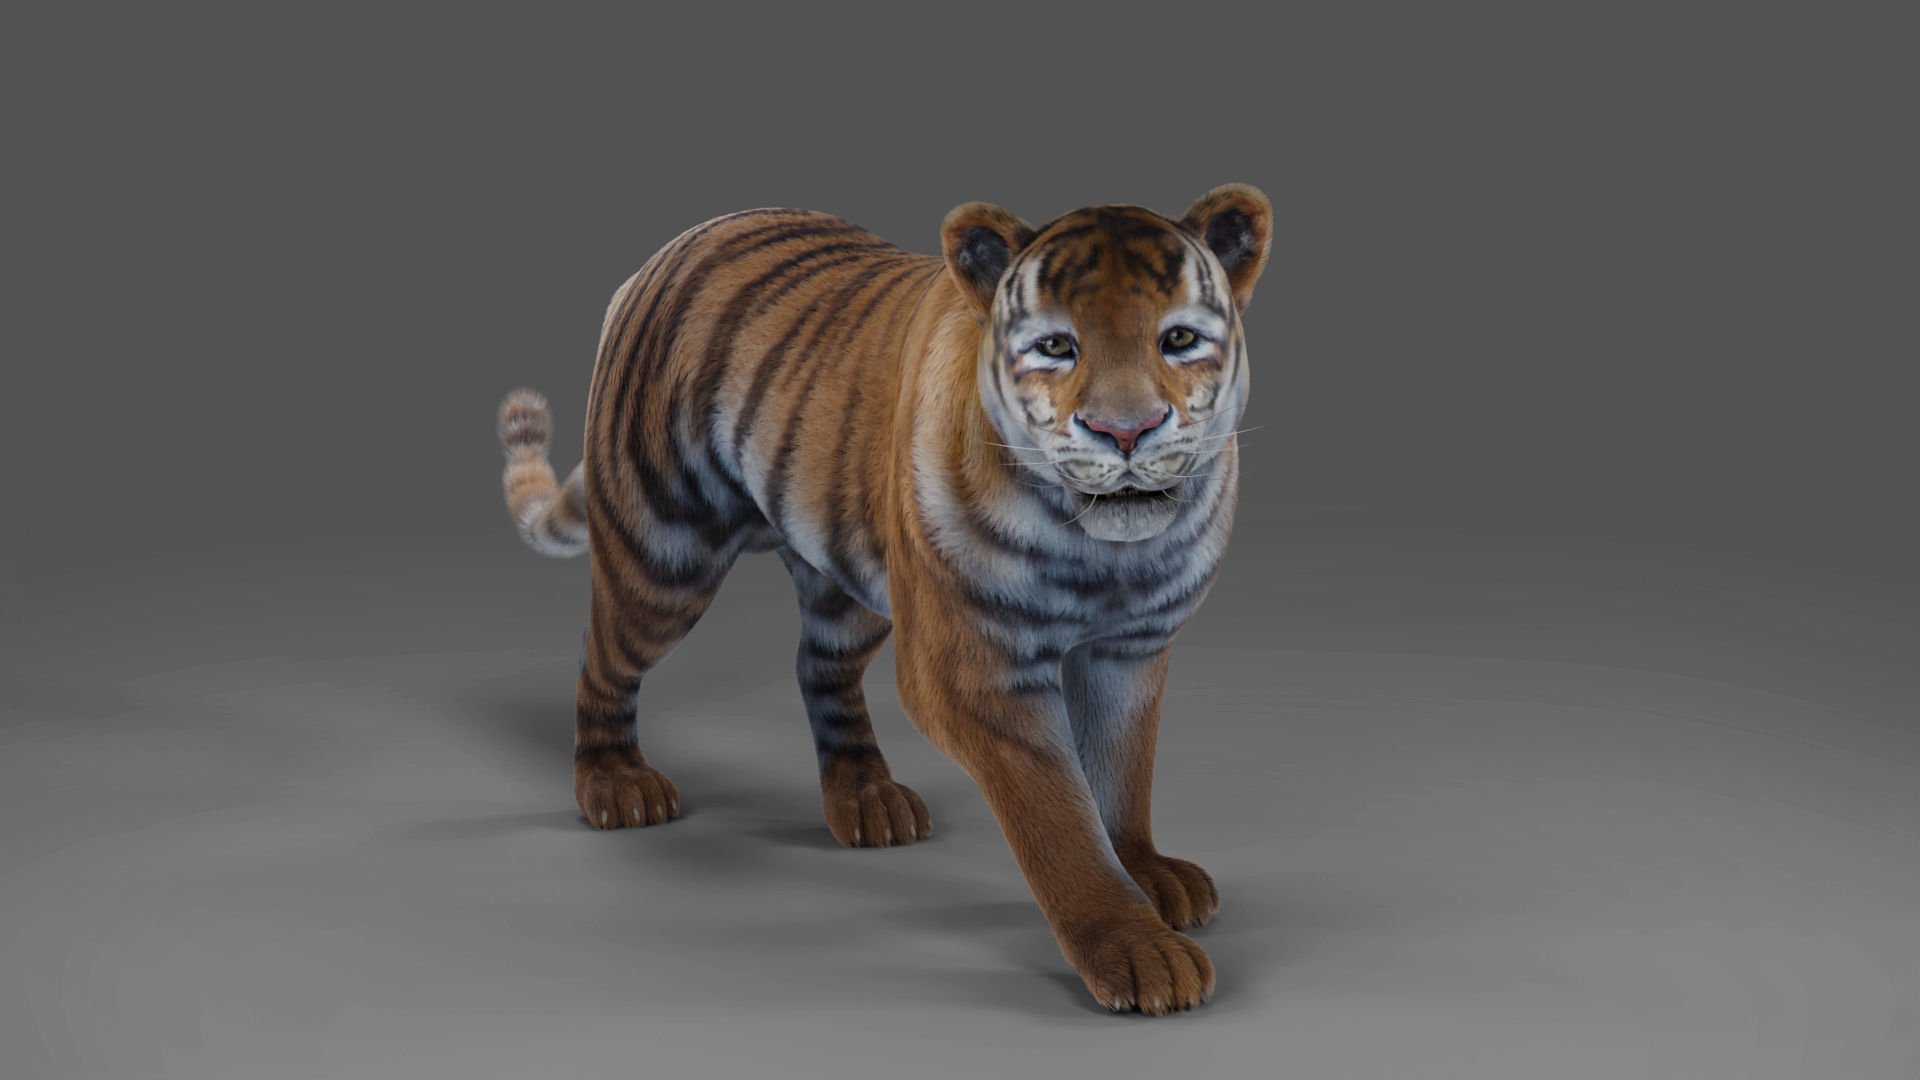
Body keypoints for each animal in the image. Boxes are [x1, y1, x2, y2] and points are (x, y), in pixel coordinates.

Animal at [495, 184, 1270, 1014]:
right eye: (1057, 347)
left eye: (1179, 339)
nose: (1124, 431)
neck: (1108, 552)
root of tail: (671, 248)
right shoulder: (975, 670)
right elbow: (1058, 813)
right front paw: (1135, 949)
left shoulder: (1130, 650)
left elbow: (1123, 773)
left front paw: (1147, 871)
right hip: (663, 557)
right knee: (602, 655)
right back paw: (614, 784)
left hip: (847, 581)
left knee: (820, 670)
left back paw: (866, 798)